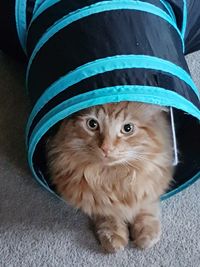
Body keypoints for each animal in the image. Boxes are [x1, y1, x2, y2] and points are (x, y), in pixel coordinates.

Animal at [45, 101, 173, 253]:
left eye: (127, 128)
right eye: (92, 124)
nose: (106, 148)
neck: (113, 176)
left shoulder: (150, 185)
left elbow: (146, 208)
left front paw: (146, 236)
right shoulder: (94, 198)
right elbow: (109, 215)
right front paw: (114, 238)